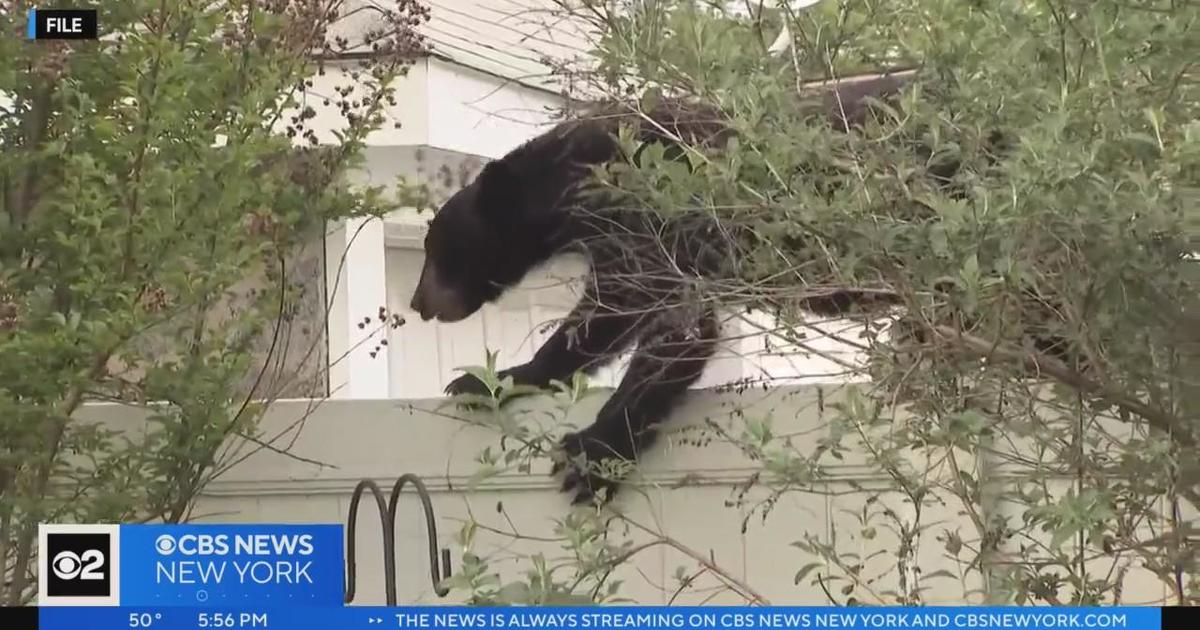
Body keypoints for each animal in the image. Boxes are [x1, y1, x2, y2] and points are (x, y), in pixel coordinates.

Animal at [408, 71, 940, 504]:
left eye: (434, 249)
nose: (417, 303)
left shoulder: (663, 228)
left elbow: (669, 334)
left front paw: (591, 455)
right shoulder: (622, 247)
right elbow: (601, 328)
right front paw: (486, 380)